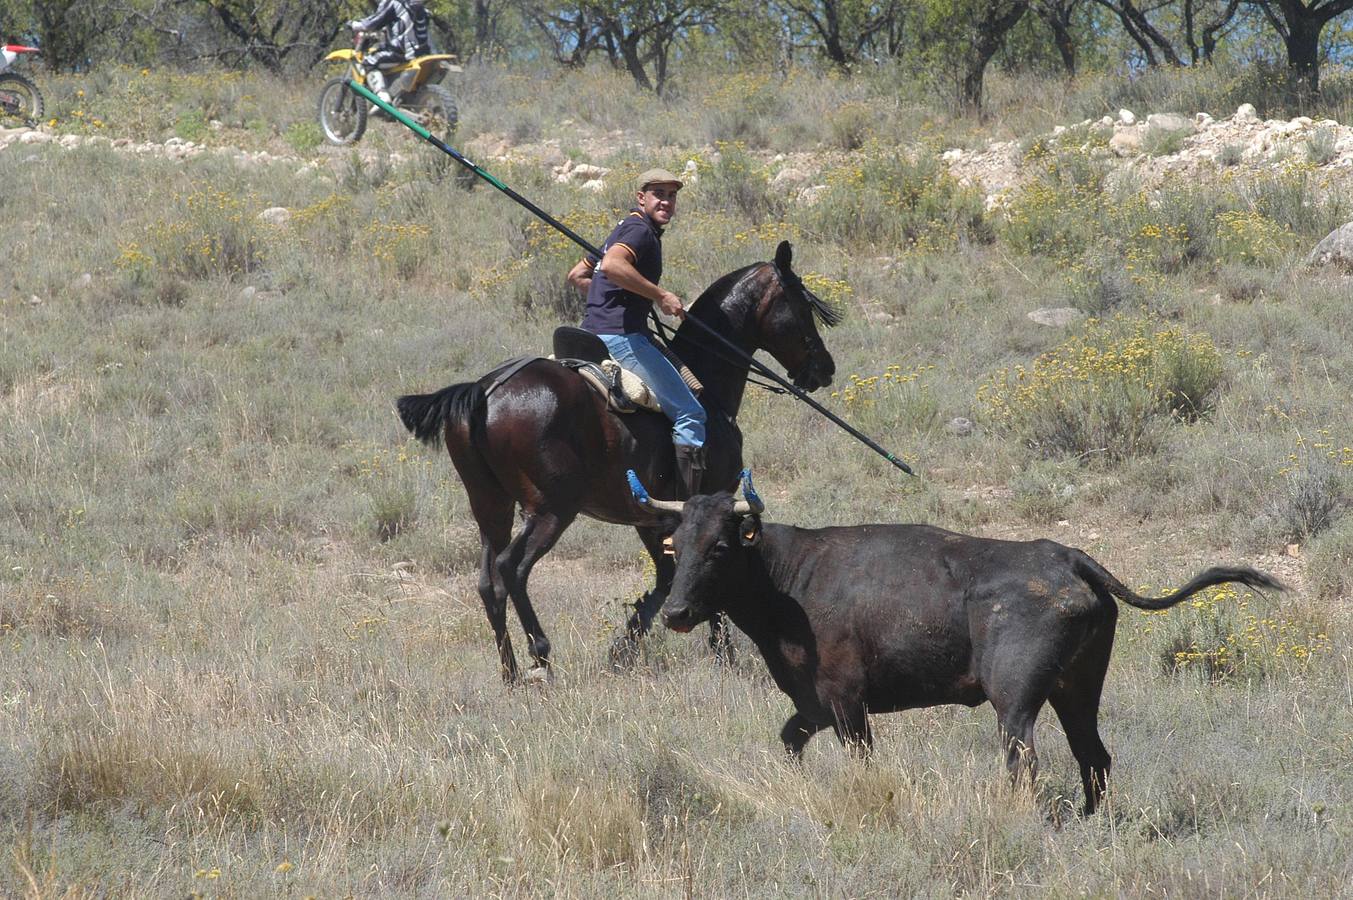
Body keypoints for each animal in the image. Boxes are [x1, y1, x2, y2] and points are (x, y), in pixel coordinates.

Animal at [395, 238, 833, 682]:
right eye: (803, 306)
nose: (825, 368)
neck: (706, 382)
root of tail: (484, 391)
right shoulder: (714, 499)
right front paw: (722, 655)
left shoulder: (652, 518)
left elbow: (667, 578)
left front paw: (623, 650)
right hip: (552, 508)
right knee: (511, 569)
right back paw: (541, 655)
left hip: (490, 505)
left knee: (489, 581)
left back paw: (511, 672)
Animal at [660, 492, 1282, 812]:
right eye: (675, 544)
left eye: (719, 547)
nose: (674, 613)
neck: (789, 576)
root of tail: (1068, 556)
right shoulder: (813, 707)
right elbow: (790, 740)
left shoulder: (846, 704)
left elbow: (859, 759)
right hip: (1076, 691)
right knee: (1094, 758)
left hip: (1016, 701)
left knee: (1024, 760)